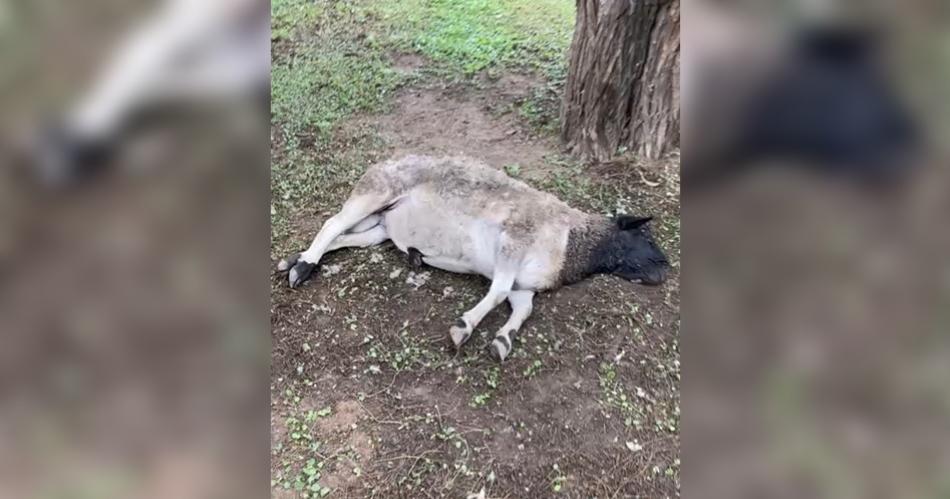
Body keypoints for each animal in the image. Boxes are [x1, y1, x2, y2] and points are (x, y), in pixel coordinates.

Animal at [278, 155, 670, 362]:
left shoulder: (524, 285)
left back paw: (294, 259)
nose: (666, 267)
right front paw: (463, 327)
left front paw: (502, 340)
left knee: (344, 237)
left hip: (379, 229)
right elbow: (497, 293)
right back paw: (303, 266)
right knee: (332, 223)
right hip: (375, 192)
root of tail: (386, 160)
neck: (570, 242)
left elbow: (523, 307)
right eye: (644, 235)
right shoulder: (514, 241)